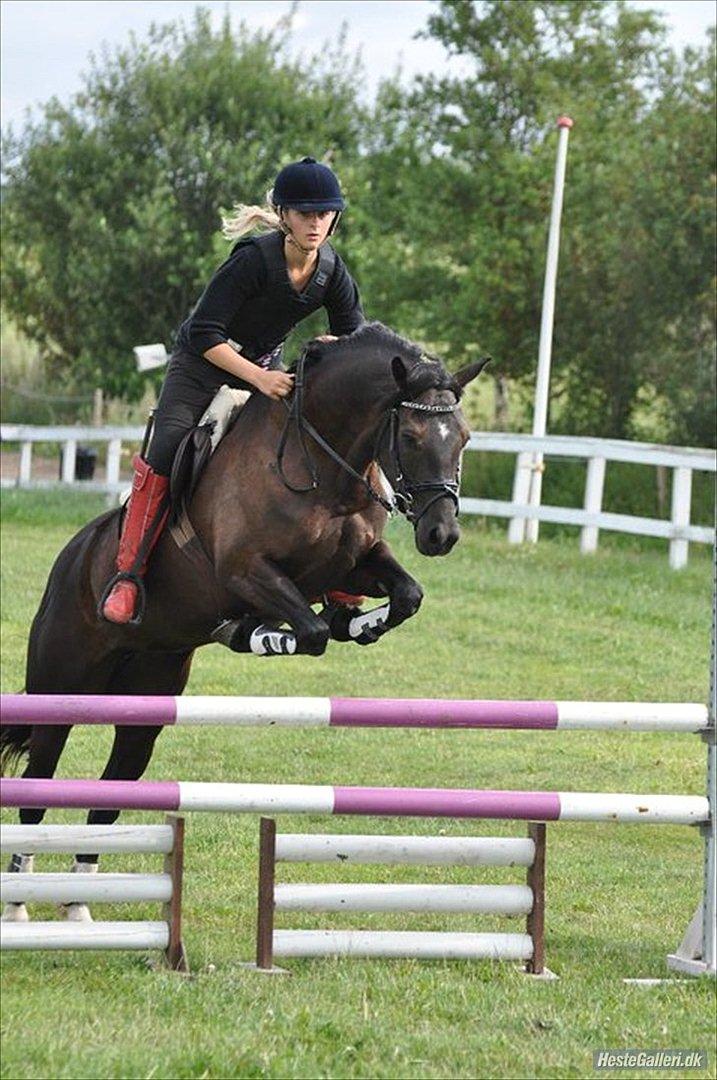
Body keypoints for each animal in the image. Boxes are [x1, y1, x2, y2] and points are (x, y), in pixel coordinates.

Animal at [1, 322, 488, 915]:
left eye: (463, 437)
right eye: (413, 437)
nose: (442, 534)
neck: (322, 468)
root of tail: (71, 558)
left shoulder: (357, 562)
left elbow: (405, 596)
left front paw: (355, 622)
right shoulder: (244, 571)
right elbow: (310, 632)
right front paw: (255, 633)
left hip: (146, 700)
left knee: (110, 790)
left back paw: (77, 903)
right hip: (62, 688)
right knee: (38, 783)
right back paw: (21, 900)